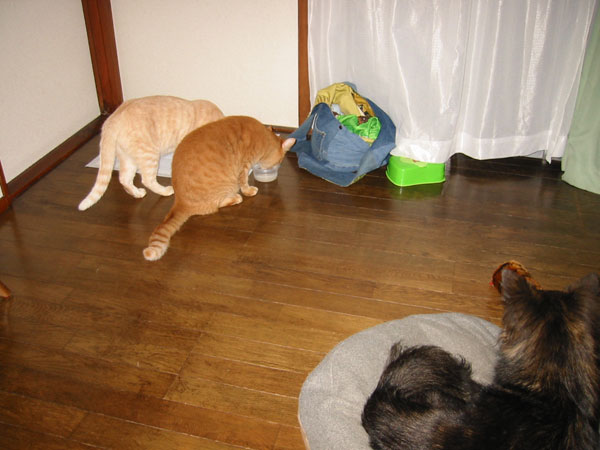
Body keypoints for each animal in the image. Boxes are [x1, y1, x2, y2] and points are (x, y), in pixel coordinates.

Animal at [78, 95, 224, 211]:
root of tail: (112, 119)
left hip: (128, 159)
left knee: (124, 178)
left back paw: (137, 193)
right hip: (149, 155)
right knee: (147, 179)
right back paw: (166, 191)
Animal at [143, 116, 295, 261]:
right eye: (280, 161)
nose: (278, 164)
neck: (263, 138)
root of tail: (180, 202)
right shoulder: (244, 166)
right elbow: (244, 182)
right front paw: (249, 190)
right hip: (227, 186)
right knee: (218, 204)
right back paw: (236, 197)